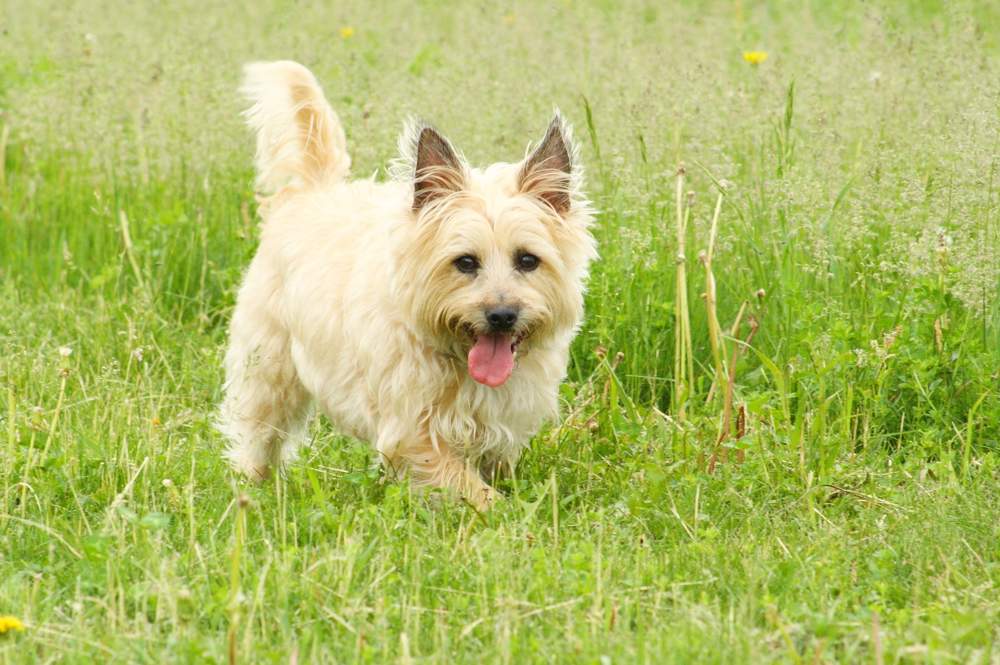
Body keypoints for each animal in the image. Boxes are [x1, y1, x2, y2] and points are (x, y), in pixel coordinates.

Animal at [219, 62, 592, 508]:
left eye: (527, 260)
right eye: (465, 262)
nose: (502, 315)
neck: (457, 358)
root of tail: (311, 191)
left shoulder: (505, 422)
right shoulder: (413, 431)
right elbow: (468, 486)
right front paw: (503, 511)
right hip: (268, 367)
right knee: (258, 431)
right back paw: (252, 486)